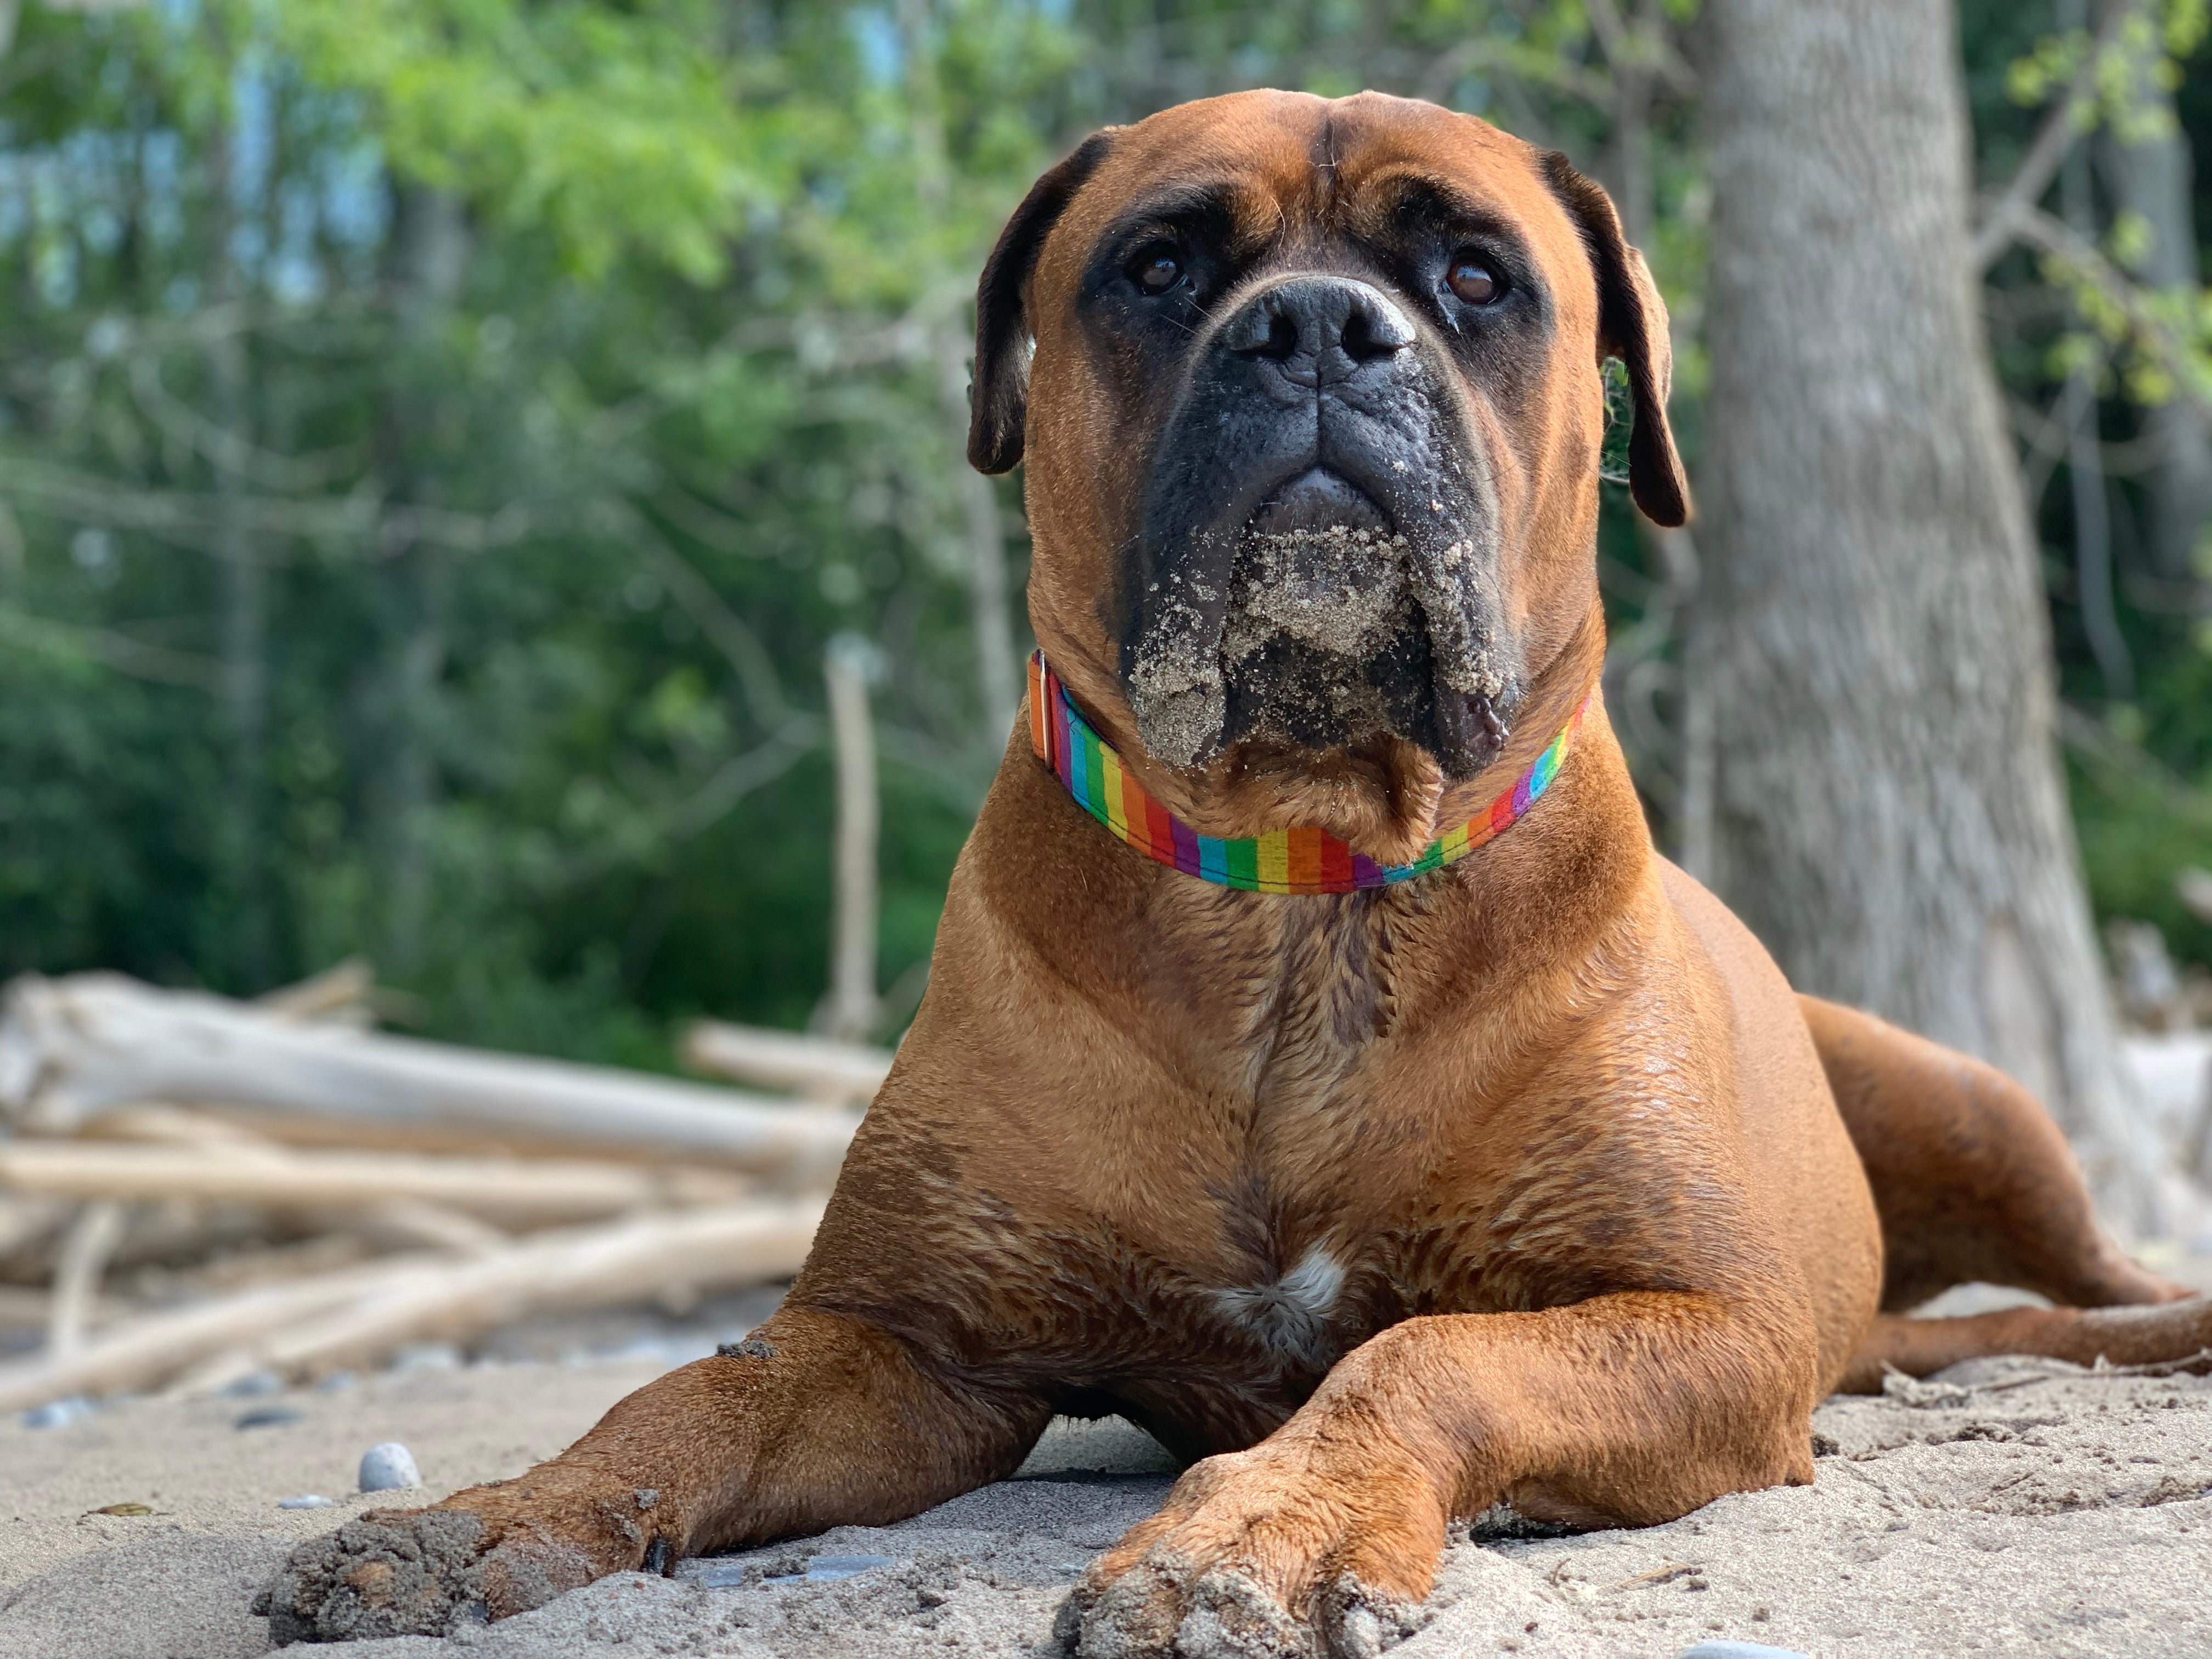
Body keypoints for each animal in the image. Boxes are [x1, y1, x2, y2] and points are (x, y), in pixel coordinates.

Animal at [263, 94, 2212, 1659]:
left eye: (1478, 277)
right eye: (1159, 263)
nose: (1321, 329)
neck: (1303, 875)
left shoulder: (1702, 1321)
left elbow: (1422, 1354)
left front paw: (1259, 1533)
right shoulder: (899, 1343)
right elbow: (686, 1404)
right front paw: (480, 1524)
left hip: (1972, 1103)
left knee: (2092, 1281)